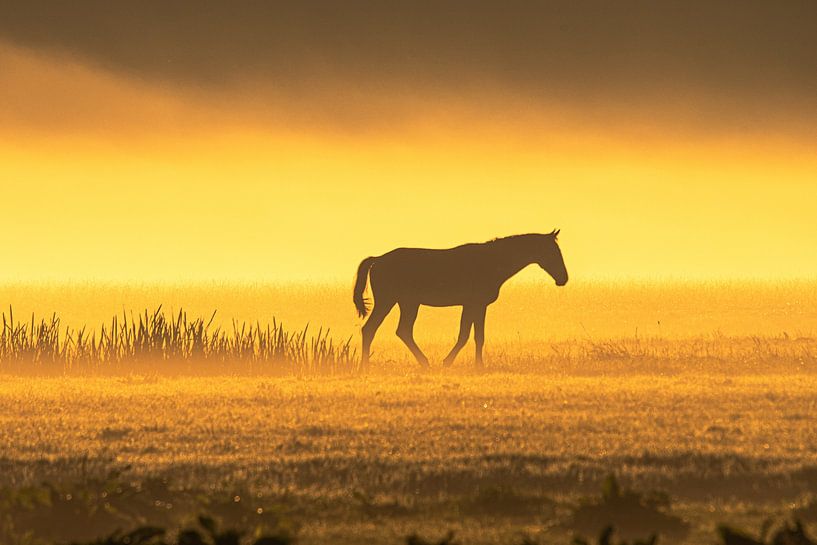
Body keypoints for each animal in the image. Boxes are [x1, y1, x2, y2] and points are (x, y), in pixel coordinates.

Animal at [353, 231, 568, 368]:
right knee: (371, 329)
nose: (563, 278)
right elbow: (467, 335)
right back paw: (366, 366)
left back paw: (423, 362)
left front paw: (476, 365)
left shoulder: (476, 305)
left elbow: (476, 336)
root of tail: (378, 259)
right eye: (552, 251)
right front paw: (451, 362)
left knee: (401, 331)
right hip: (388, 302)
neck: (492, 261)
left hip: (408, 303)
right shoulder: (474, 304)